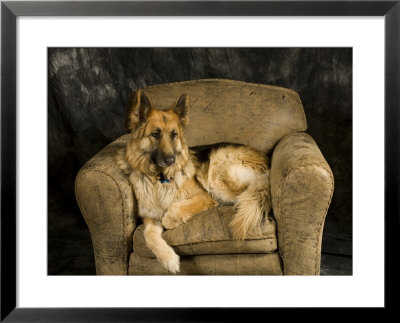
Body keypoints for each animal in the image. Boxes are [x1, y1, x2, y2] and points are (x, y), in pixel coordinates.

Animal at [117, 90, 270, 274]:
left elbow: (172, 211)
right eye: (155, 134)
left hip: (217, 173)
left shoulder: (204, 197)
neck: (159, 179)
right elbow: (149, 236)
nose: (171, 160)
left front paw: (171, 221)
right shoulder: (150, 217)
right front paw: (170, 260)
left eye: (174, 134)